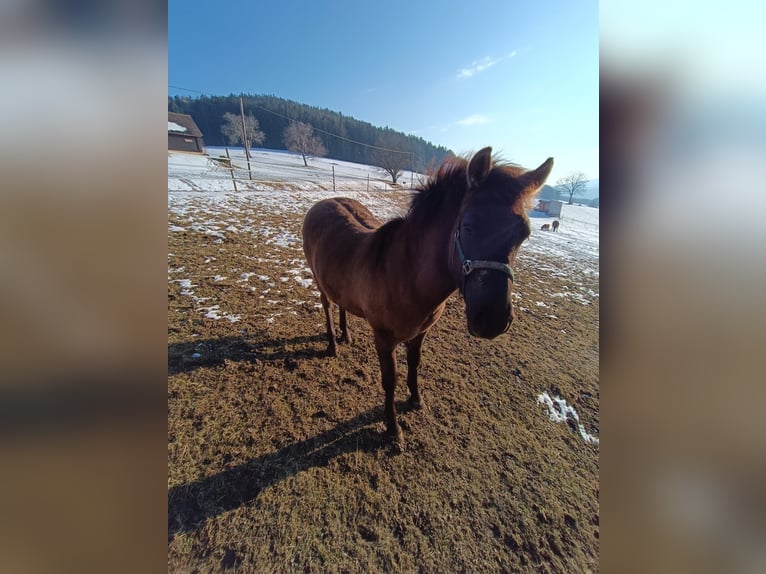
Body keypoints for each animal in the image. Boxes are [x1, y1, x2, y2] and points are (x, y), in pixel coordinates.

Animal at [304, 146, 556, 444]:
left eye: (523, 234)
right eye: (468, 226)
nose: (492, 320)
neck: (405, 274)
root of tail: (322, 203)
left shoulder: (420, 333)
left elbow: (415, 364)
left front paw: (416, 400)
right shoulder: (384, 338)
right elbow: (390, 380)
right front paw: (393, 428)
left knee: (341, 304)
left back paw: (346, 335)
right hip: (319, 282)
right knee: (328, 307)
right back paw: (333, 344)